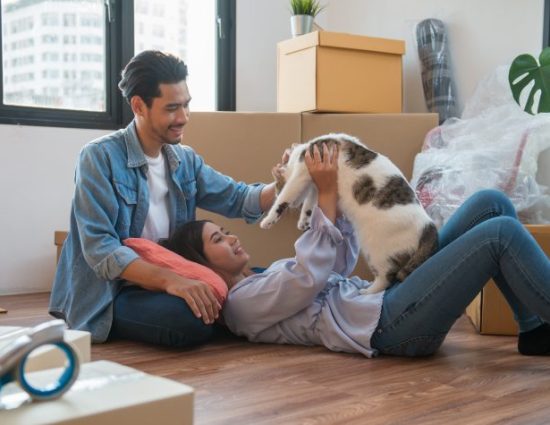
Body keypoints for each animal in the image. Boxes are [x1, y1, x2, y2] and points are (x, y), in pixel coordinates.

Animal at [262, 134, 440, 294]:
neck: (303, 151)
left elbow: (284, 200)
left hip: (376, 250)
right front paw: (305, 220)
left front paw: (268, 220)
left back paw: (366, 291)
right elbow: (309, 204)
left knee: (386, 277)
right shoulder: (314, 186)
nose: (276, 192)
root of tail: (429, 226)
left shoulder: (300, 176)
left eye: (277, 188)